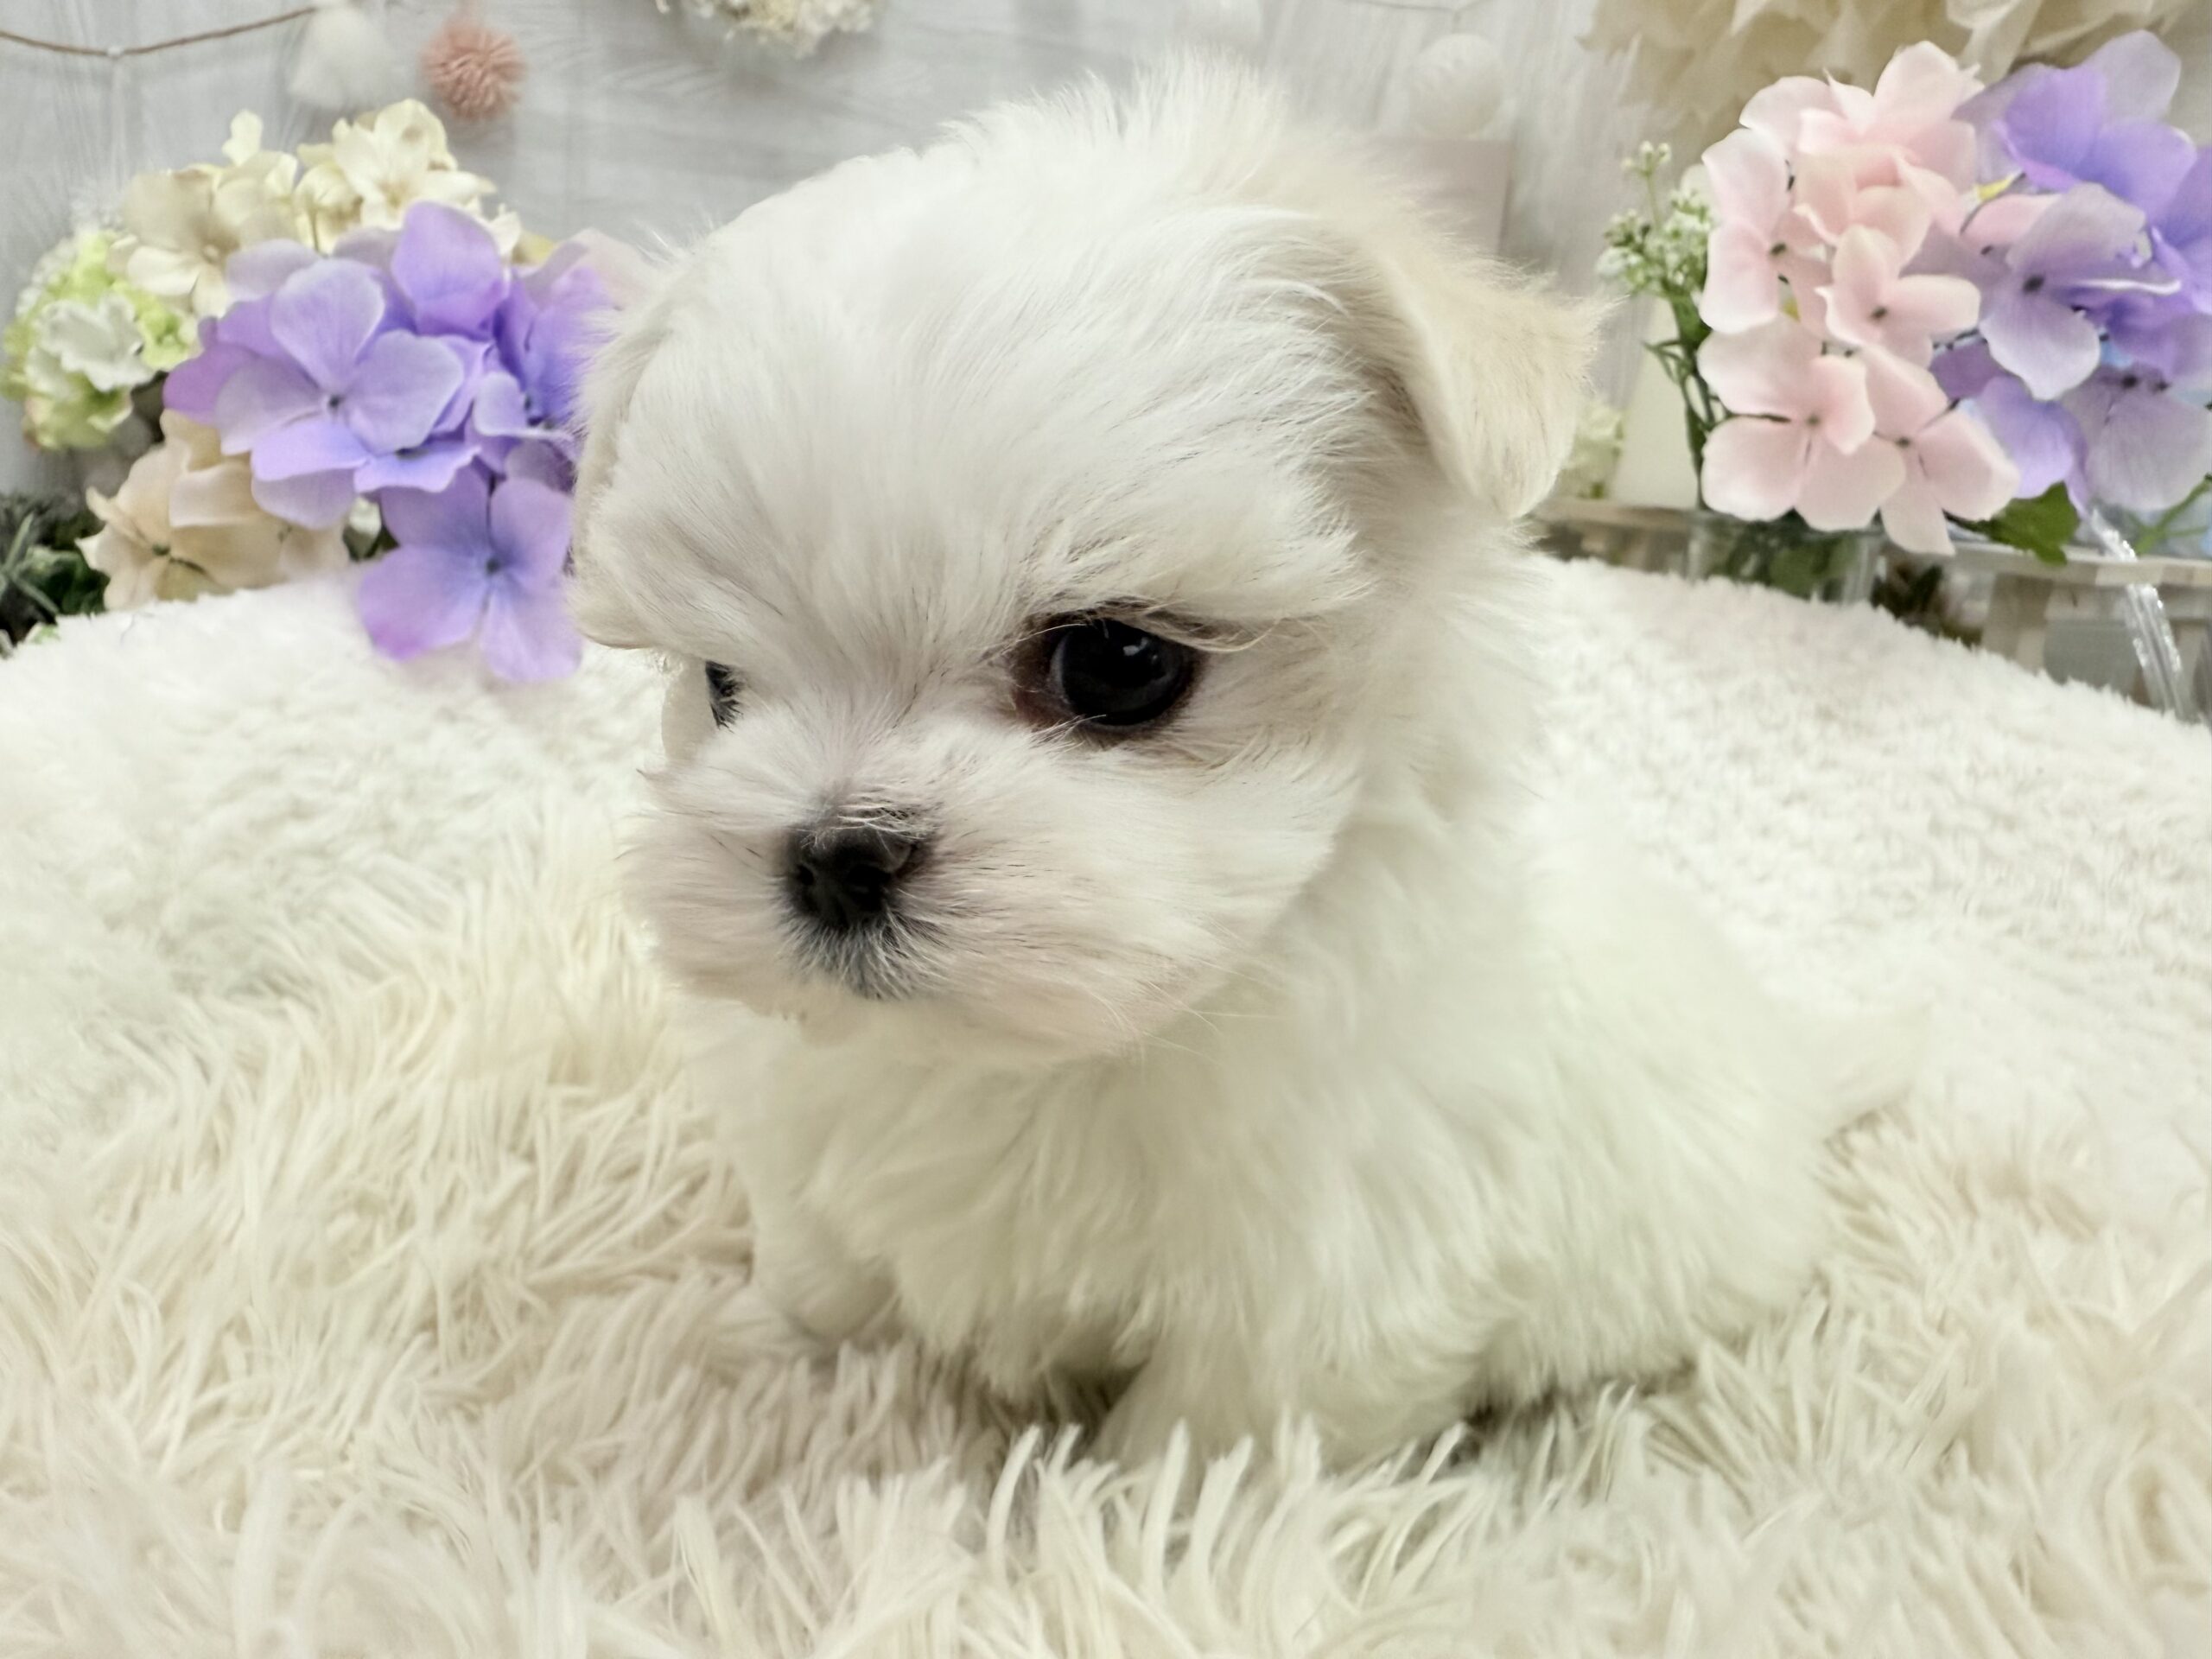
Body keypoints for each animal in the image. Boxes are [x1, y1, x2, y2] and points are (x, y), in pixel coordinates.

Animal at [567, 61, 1918, 1467]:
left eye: (1116, 664)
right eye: (720, 685)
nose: (835, 856)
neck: (1050, 1055)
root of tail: (1792, 1067)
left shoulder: (1324, 1281)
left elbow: (1218, 1441)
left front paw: (1126, 1503)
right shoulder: (811, 1137)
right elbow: (823, 1274)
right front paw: (773, 1356)